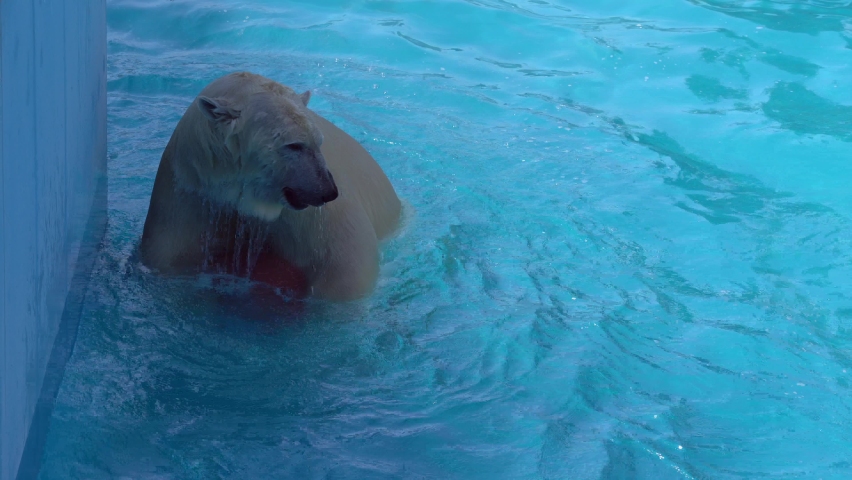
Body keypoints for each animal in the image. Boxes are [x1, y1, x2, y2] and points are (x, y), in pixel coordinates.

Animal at [139, 72, 401, 301]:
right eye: (294, 145)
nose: (329, 191)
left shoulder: (310, 216)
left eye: (319, 142)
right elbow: (169, 255)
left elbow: (346, 268)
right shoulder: (192, 192)